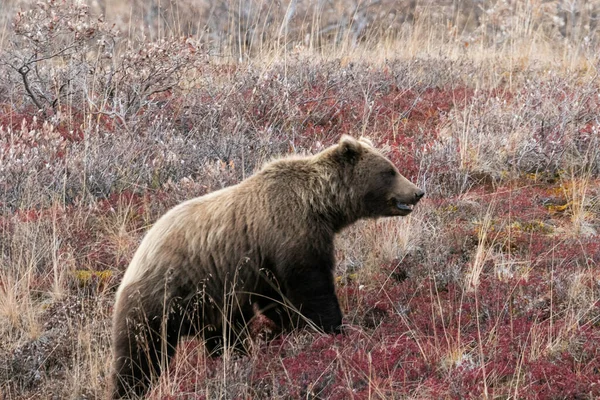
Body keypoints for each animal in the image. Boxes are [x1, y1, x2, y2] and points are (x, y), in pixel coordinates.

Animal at [110, 135, 424, 396]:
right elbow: (312, 287)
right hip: (161, 298)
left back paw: (230, 361)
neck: (321, 207)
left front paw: (293, 329)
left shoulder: (262, 263)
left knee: (223, 335)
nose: (417, 192)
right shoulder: (289, 232)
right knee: (140, 355)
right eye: (389, 171)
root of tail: (134, 261)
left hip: (210, 301)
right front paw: (333, 328)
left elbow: (278, 299)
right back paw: (130, 388)